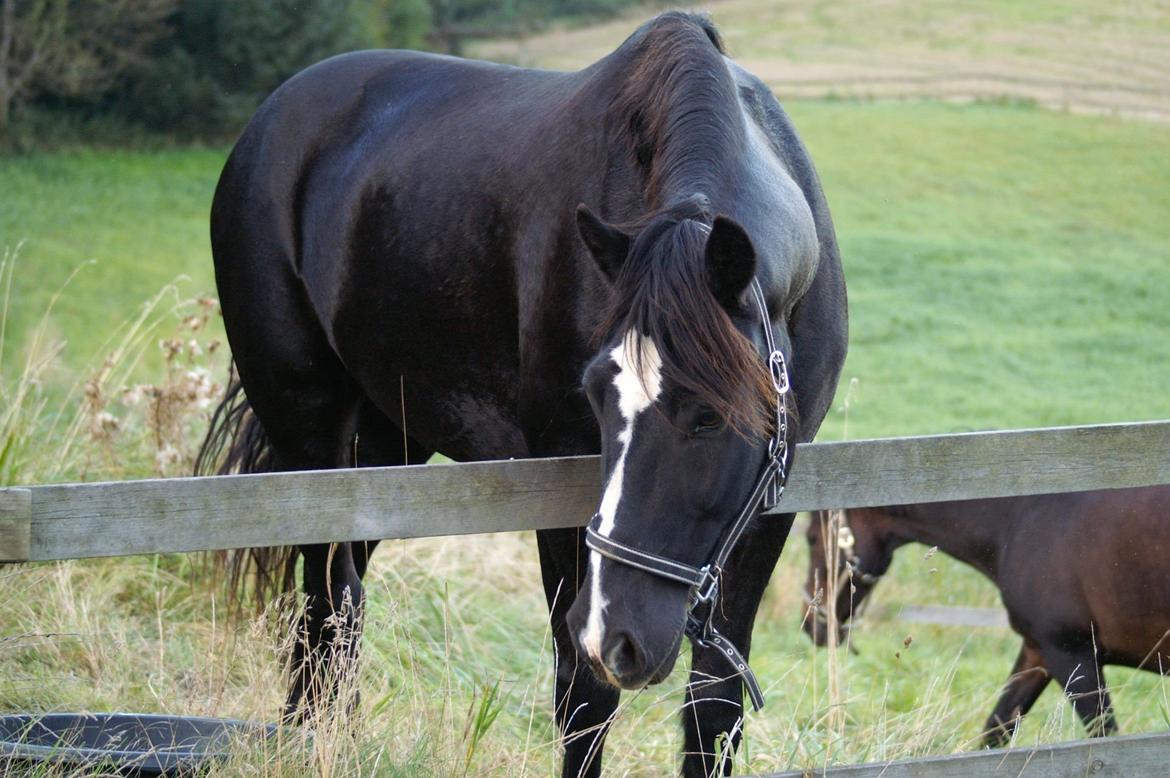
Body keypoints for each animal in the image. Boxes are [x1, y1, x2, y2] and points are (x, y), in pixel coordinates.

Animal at [201, 13, 842, 776]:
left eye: (711, 417)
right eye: (594, 395)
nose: (620, 636)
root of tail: (270, 118)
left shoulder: (772, 498)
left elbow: (714, 709)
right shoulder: (560, 492)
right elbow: (584, 700)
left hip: (389, 442)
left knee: (332, 601)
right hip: (307, 430)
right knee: (332, 597)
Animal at [800, 486, 1170, 748]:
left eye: (812, 538)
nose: (811, 624)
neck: (1022, 519)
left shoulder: (1072, 655)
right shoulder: (1038, 653)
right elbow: (995, 731)